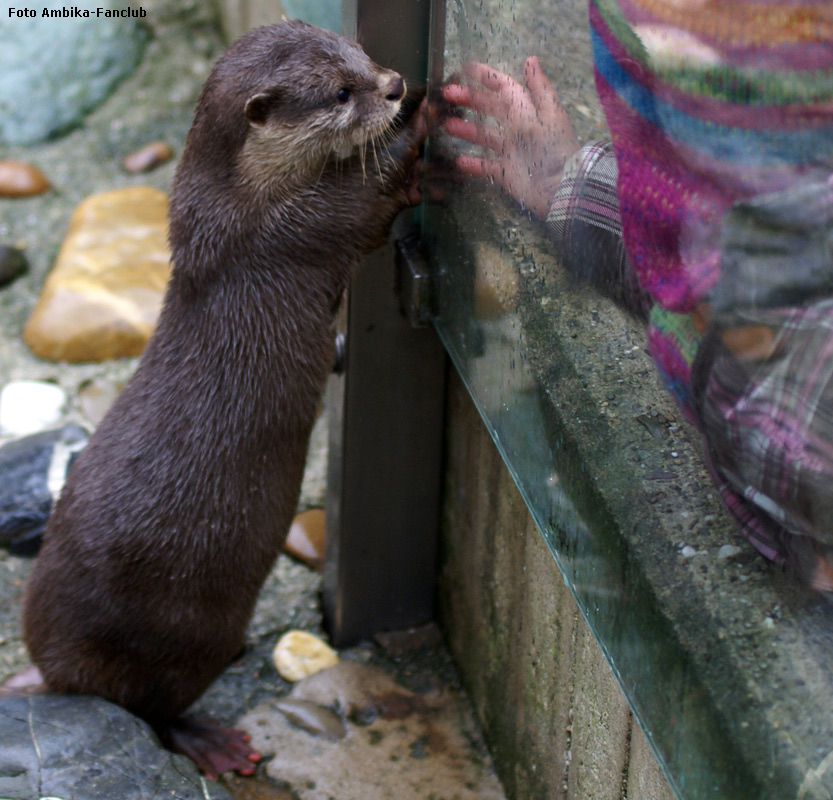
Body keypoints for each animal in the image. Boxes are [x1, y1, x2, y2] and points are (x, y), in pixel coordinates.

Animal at [17, 20, 426, 780]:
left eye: (360, 54)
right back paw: (212, 741)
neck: (236, 202)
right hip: (177, 637)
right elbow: (361, 204)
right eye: (340, 92)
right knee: (149, 707)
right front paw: (421, 124)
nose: (393, 85)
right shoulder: (283, 231)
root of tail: (54, 671)